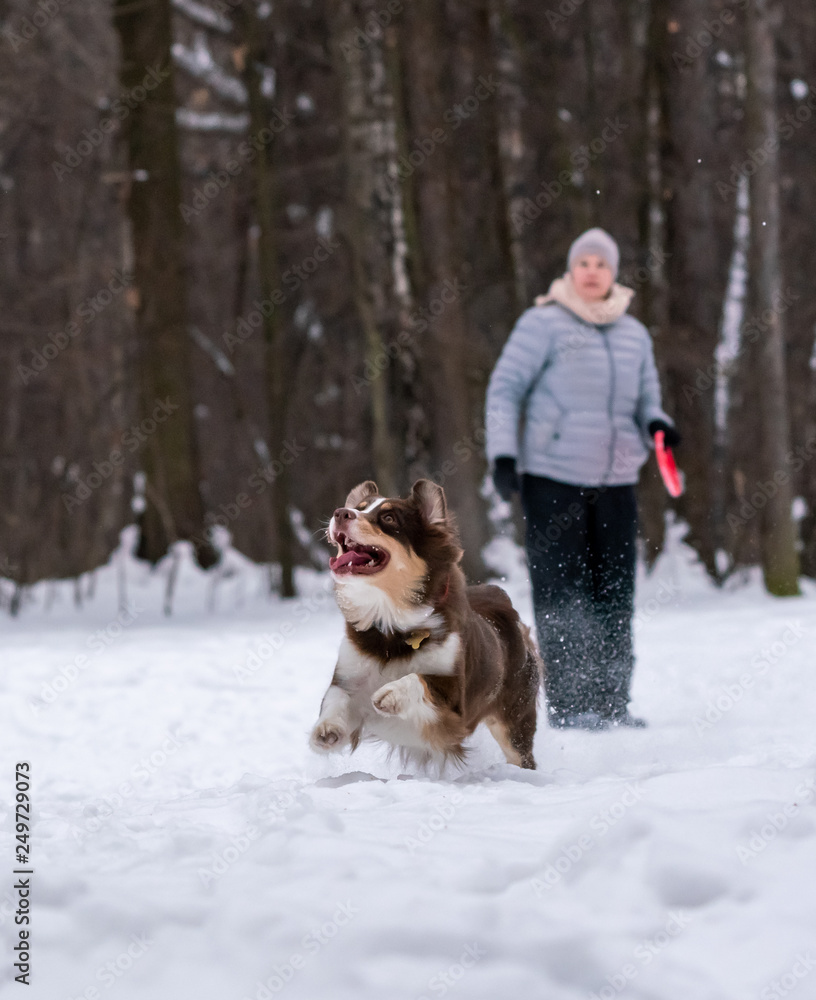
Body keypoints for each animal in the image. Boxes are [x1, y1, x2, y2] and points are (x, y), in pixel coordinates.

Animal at [309, 478, 542, 769]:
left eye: (388, 518)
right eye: (359, 507)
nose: (340, 513)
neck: (391, 628)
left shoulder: (454, 703)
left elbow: (421, 679)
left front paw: (390, 693)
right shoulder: (348, 677)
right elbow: (336, 698)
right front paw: (326, 730)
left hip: (515, 719)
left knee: (520, 754)